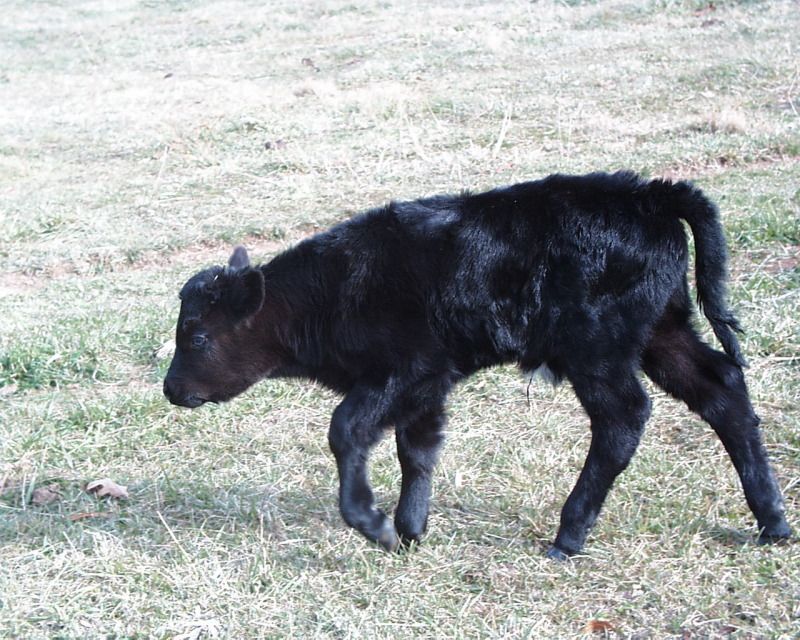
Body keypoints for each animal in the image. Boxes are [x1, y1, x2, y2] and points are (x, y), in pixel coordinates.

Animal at [163, 171, 791, 558]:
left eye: (195, 335)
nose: (170, 388)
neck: (335, 287)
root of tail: (650, 194)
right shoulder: (428, 386)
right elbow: (417, 450)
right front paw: (409, 531)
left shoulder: (402, 372)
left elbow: (346, 431)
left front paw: (373, 524)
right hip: (663, 332)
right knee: (722, 390)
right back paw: (774, 522)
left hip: (597, 350)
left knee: (624, 418)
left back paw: (568, 535)